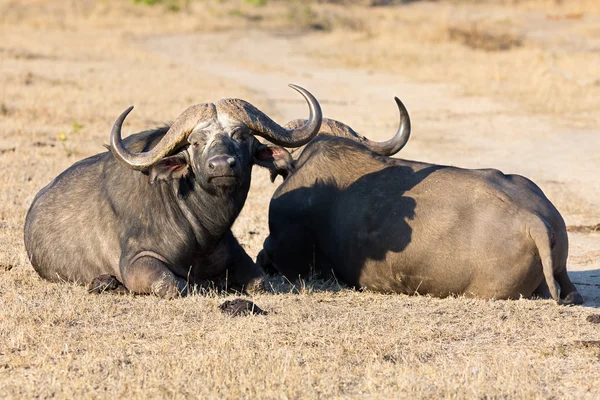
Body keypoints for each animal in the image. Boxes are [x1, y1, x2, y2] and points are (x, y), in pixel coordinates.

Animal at [24, 85, 324, 296]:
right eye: (196, 142)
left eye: (241, 136)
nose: (221, 165)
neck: (202, 232)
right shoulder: (138, 262)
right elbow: (174, 285)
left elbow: (260, 282)